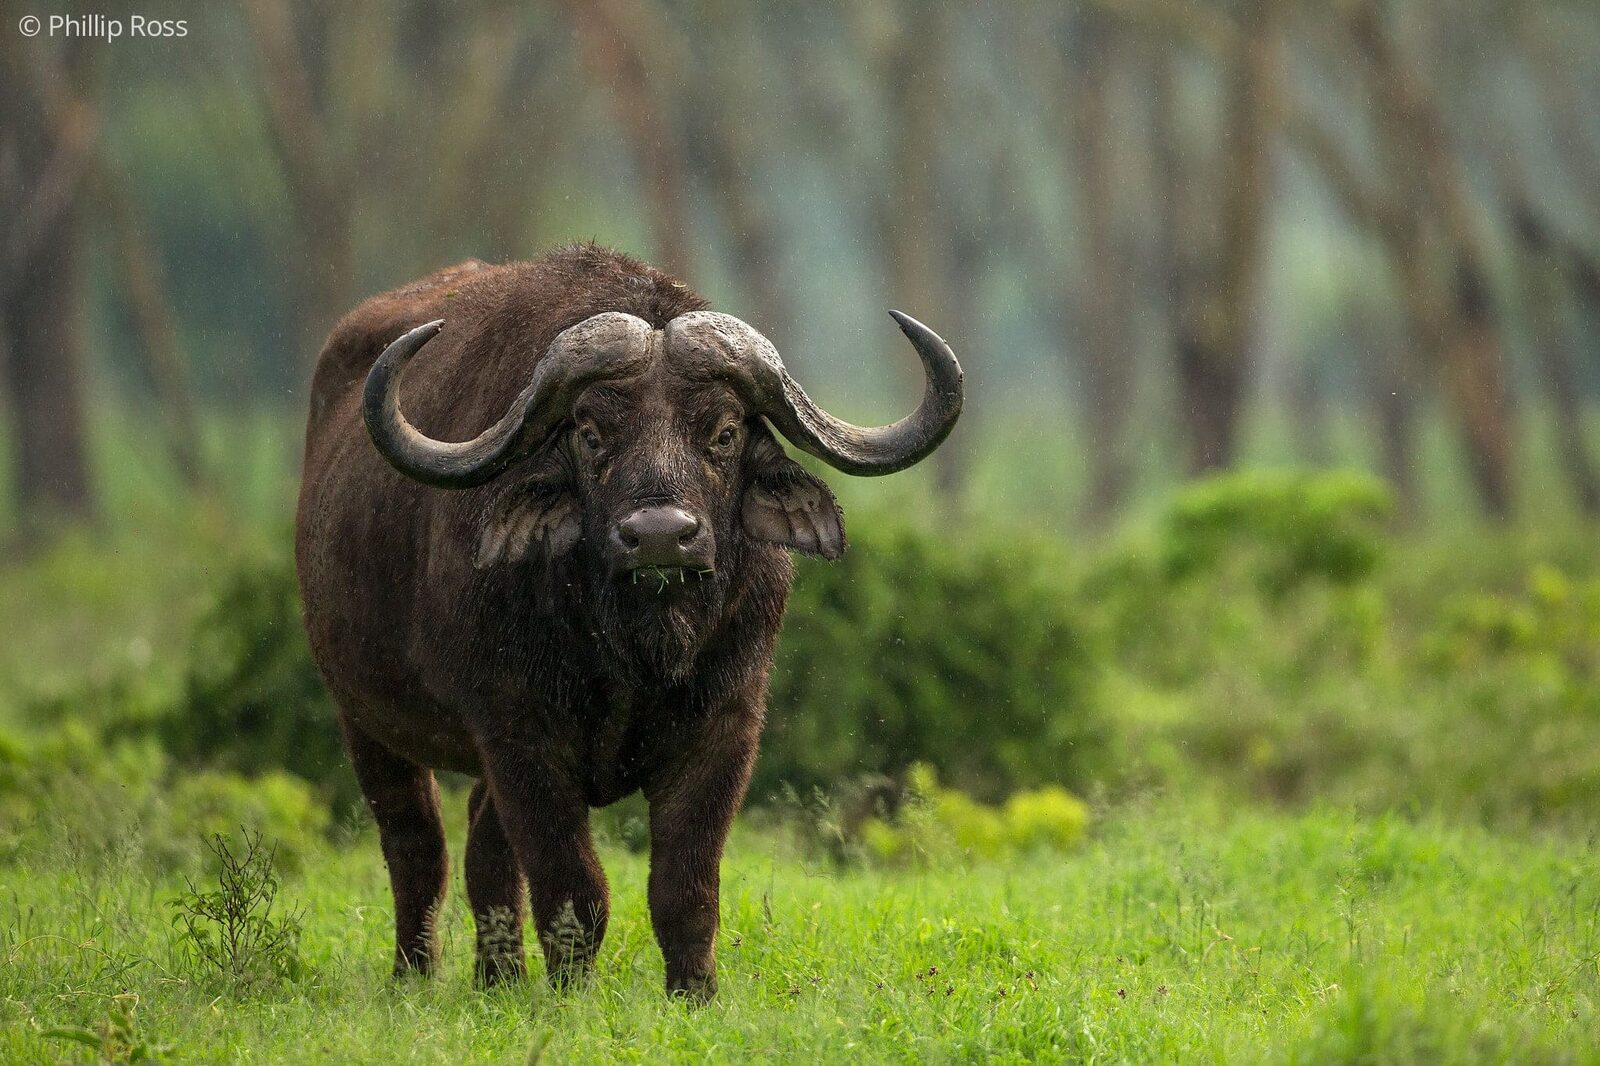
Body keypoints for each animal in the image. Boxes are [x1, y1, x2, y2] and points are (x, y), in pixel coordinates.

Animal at [294, 244, 962, 999]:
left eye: (724, 433)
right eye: (591, 435)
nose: (662, 536)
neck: (635, 648)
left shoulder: (727, 727)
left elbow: (686, 886)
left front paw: (694, 994)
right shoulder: (518, 731)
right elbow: (572, 886)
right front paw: (571, 995)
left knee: (482, 849)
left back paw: (498, 979)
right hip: (363, 716)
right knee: (417, 848)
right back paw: (417, 975)